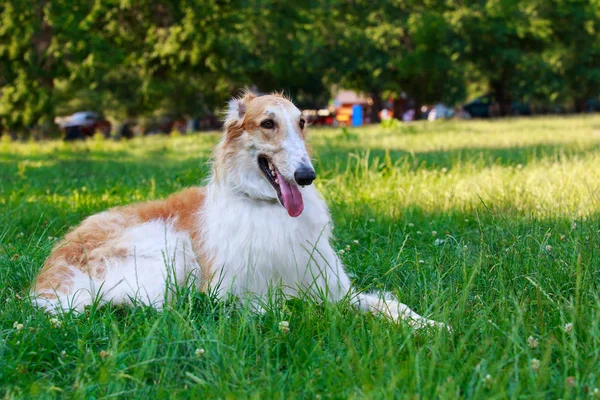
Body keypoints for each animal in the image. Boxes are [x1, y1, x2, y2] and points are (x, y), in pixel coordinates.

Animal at [31, 92, 446, 330]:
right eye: (267, 123)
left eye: (302, 122)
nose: (306, 176)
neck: (267, 208)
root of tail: (46, 281)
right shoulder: (233, 292)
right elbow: (296, 308)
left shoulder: (333, 286)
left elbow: (388, 305)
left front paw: (432, 325)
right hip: (166, 247)